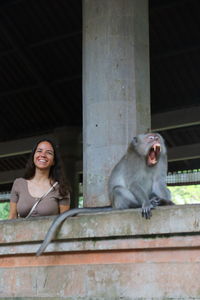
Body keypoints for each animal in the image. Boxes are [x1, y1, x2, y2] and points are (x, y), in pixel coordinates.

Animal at [36, 133, 173, 255]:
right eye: (150, 138)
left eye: (157, 137)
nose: (156, 139)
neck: (145, 160)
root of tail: (113, 205)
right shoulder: (133, 162)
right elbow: (133, 184)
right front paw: (145, 204)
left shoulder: (161, 160)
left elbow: (158, 182)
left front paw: (167, 201)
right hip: (119, 202)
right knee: (118, 190)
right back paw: (137, 205)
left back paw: (159, 201)